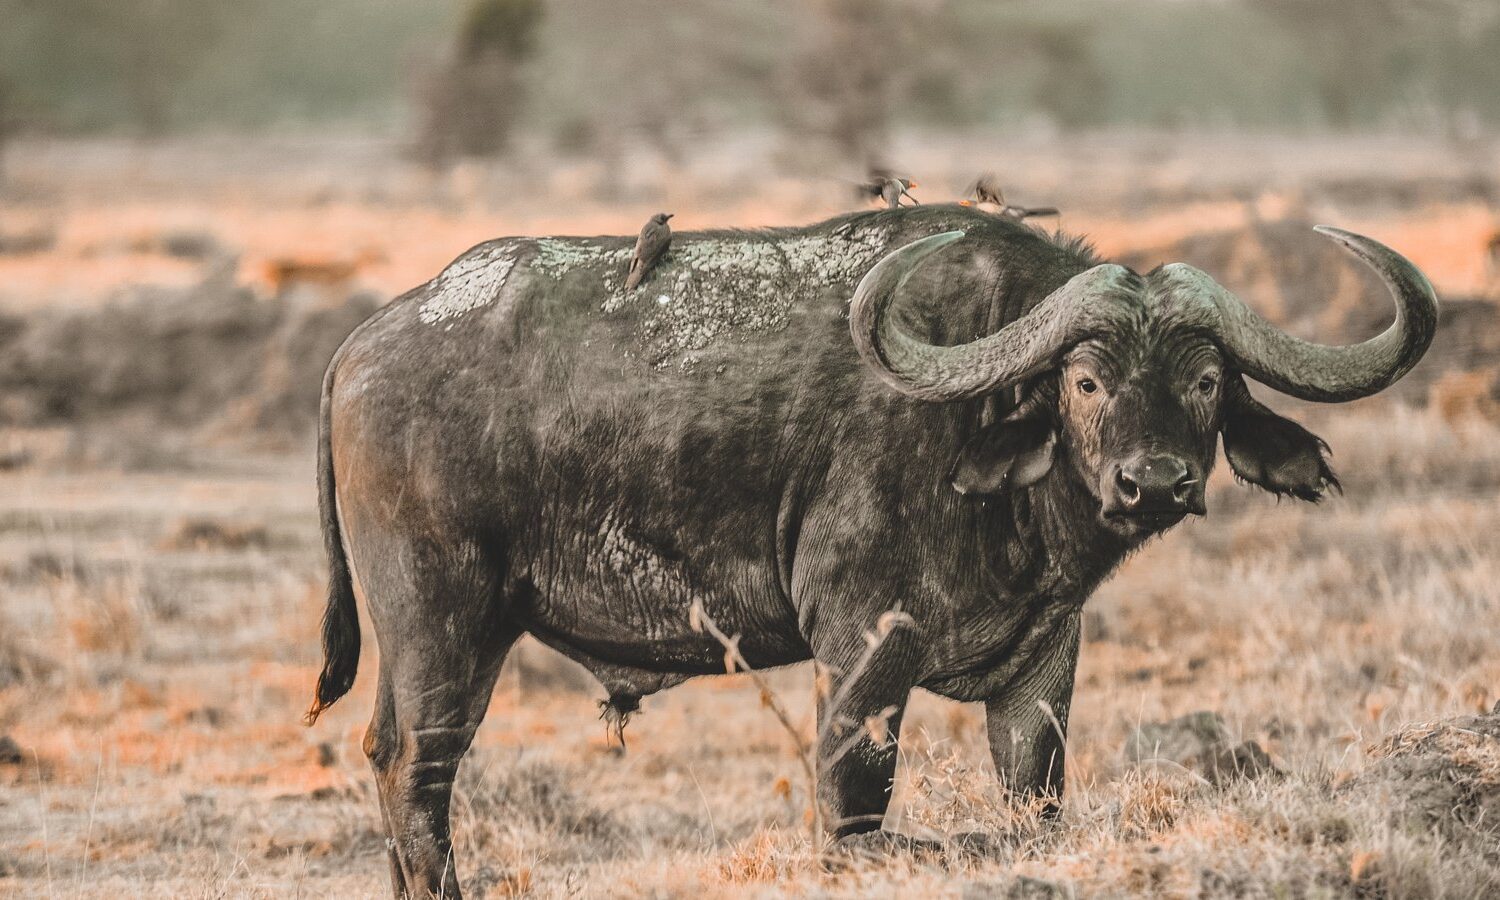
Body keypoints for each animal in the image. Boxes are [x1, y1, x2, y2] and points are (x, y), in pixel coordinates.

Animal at [304, 206, 1435, 897]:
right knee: (418, 769)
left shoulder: (1044, 662)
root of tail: (366, 342)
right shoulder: (862, 649)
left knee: (383, 755)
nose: (1152, 483)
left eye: (1205, 382)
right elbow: (854, 802)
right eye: (1085, 381)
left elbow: (1038, 797)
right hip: (446, 624)